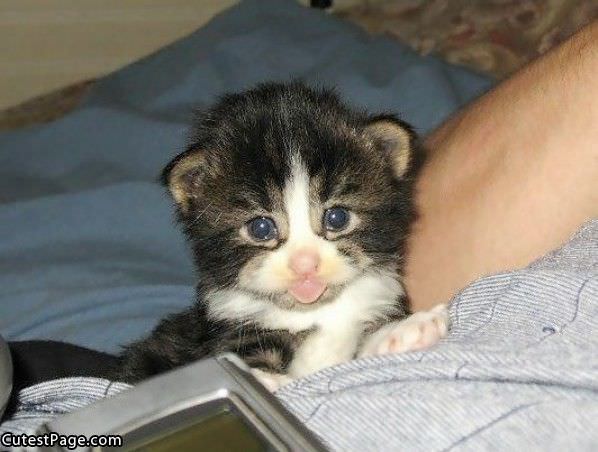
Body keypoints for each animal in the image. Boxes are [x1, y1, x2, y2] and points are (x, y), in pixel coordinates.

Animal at [115, 80, 448, 388]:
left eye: (337, 218)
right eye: (261, 228)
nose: (305, 264)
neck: (312, 312)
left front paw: (403, 332)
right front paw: (264, 379)